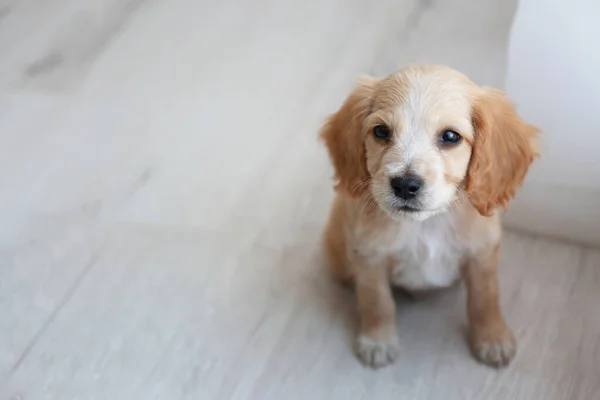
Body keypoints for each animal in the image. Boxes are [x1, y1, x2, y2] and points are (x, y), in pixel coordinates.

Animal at [322, 65, 540, 368]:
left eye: (450, 136)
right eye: (381, 131)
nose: (404, 185)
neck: (427, 224)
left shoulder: (482, 254)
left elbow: (485, 299)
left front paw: (493, 338)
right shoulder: (368, 257)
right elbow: (376, 301)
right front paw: (378, 341)